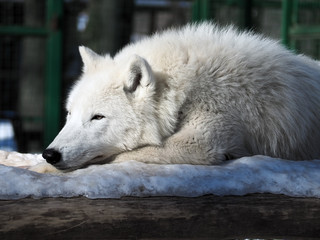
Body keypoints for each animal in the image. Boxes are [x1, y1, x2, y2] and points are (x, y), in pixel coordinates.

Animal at [42, 22, 320, 172]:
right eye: (69, 114)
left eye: (97, 117)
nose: (50, 154)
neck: (183, 89)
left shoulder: (202, 142)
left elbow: (118, 156)